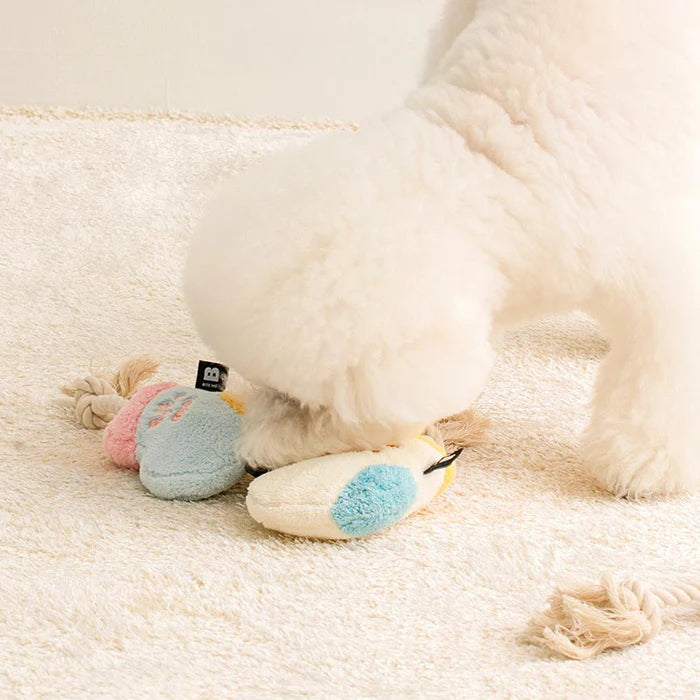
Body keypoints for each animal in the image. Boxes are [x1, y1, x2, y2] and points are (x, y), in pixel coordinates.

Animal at [185, 0, 700, 497]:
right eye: (269, 388)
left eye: (312, 406)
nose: (252, 464)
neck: (495, 169)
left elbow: (661, 369)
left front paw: (643, 463)